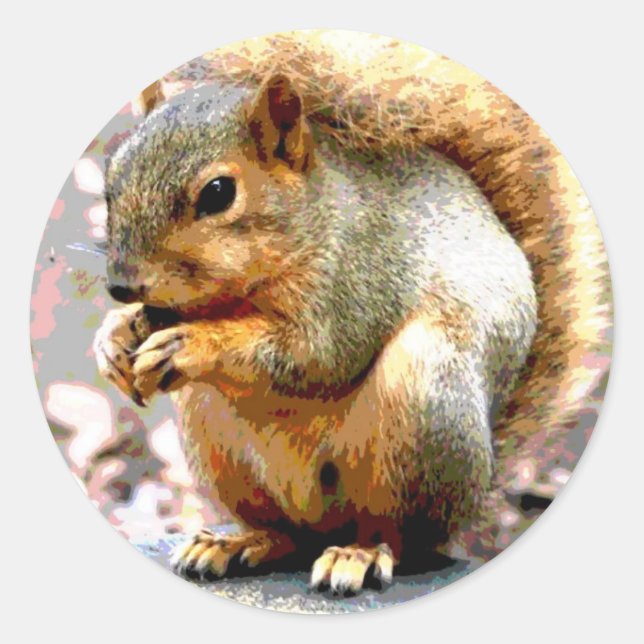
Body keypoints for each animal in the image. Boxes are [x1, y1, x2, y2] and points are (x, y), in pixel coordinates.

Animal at [93, 31, 611, 594]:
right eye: (111, 180)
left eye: (218, 193)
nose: (121, 286)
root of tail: (481, 480)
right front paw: (114, 339)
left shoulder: (360, 277)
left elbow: (318, 355)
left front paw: (194, 344)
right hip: (214, 433)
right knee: (286, 535)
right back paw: (237, 542)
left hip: (424, 400)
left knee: (400, 536)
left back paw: (358, 555)